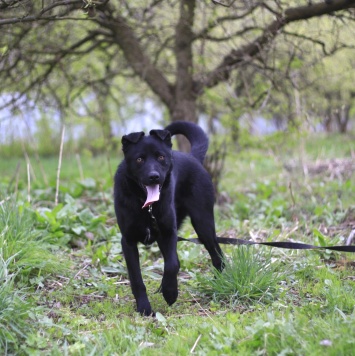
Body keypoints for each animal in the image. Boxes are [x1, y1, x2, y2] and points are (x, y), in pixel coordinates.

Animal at [114, 121, 222, 316]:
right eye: (139, 159)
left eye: (161, 157)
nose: (154, 176)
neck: (147, 205)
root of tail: (193, 157)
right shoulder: (128, 241)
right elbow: (136, 278)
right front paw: (144, 307)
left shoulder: (169, 233)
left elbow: (172, 264)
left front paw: (170, 292)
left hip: (203, 224)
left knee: (217, 254)